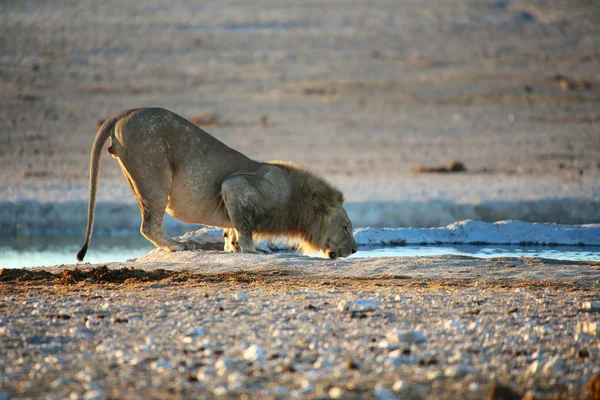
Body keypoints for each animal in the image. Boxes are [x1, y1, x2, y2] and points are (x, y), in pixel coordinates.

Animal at [76, 108, 356, 260]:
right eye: (345, 228)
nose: (354, 250)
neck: (296, 201)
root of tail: (121, 114)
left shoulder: (233, 194)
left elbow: (233, 228)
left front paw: (231, 246)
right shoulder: (235, 185)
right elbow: (245, 229)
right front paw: (254, 251)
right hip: (153, 173)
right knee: (149, 225)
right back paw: (178, 245)